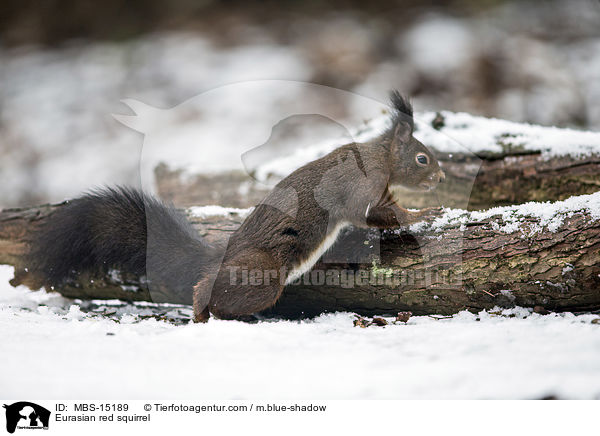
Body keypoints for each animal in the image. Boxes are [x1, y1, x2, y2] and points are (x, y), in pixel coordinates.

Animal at [24, 90, 446, 322]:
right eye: (423, 158)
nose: (441, 178)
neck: (381, 158)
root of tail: (222, 256)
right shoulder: (360, 188)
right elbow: (375, 214)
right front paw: (425, 214)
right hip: (262, 274)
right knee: (215, 292)